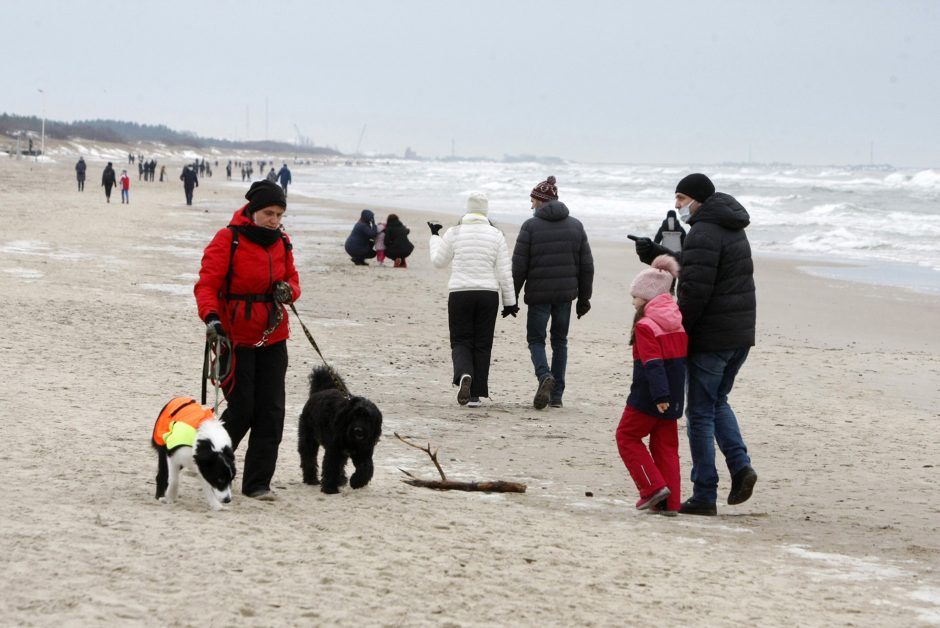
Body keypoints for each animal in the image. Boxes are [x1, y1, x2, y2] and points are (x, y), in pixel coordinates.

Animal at [296, 366, 380, 494]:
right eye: (354, 416)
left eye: (368, 418)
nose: (358, 430)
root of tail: (318, 392)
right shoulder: (334, 450)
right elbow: (331, 467)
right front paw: (330, 489)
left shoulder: (363, 453)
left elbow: (366, 467)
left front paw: (357, 482)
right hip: (308, 438)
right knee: (308, 457)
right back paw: (311, 479)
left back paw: (341, 479)